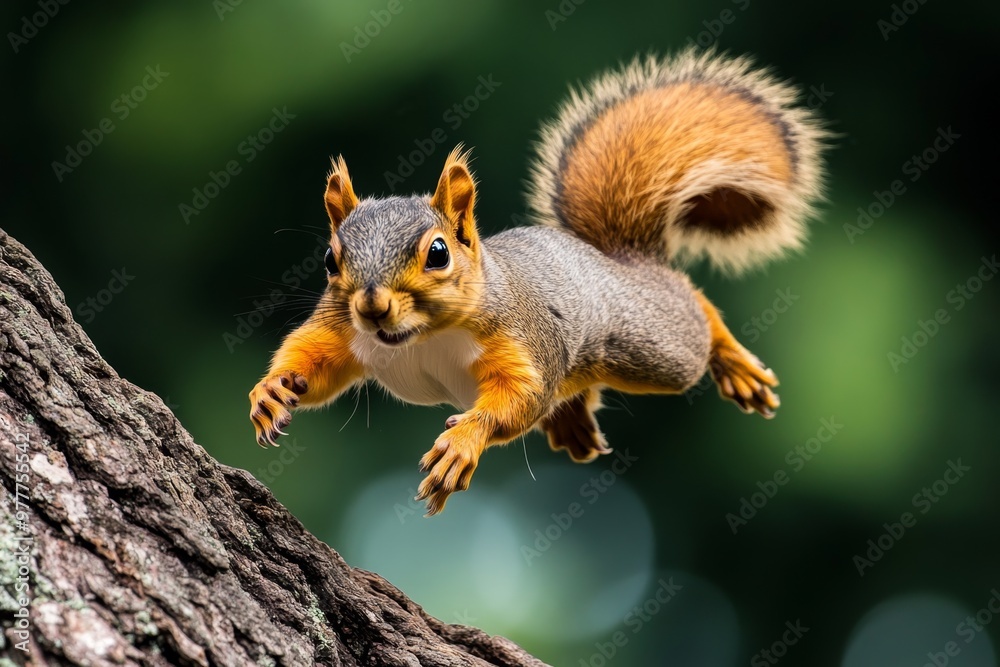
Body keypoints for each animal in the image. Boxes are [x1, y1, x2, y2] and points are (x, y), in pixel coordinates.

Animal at [249, 49, 825, 515]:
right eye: (330, 259)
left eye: (438, 253)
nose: (371, 307)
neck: (421, 337)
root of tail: (619, 257)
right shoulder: (342, 331)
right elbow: (313, 360)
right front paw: (271, 390)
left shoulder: (522, 337)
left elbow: (519, 398)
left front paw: (463, 444)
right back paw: (571, 421)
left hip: (651, 344)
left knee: (695, 310)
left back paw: (736, 365)